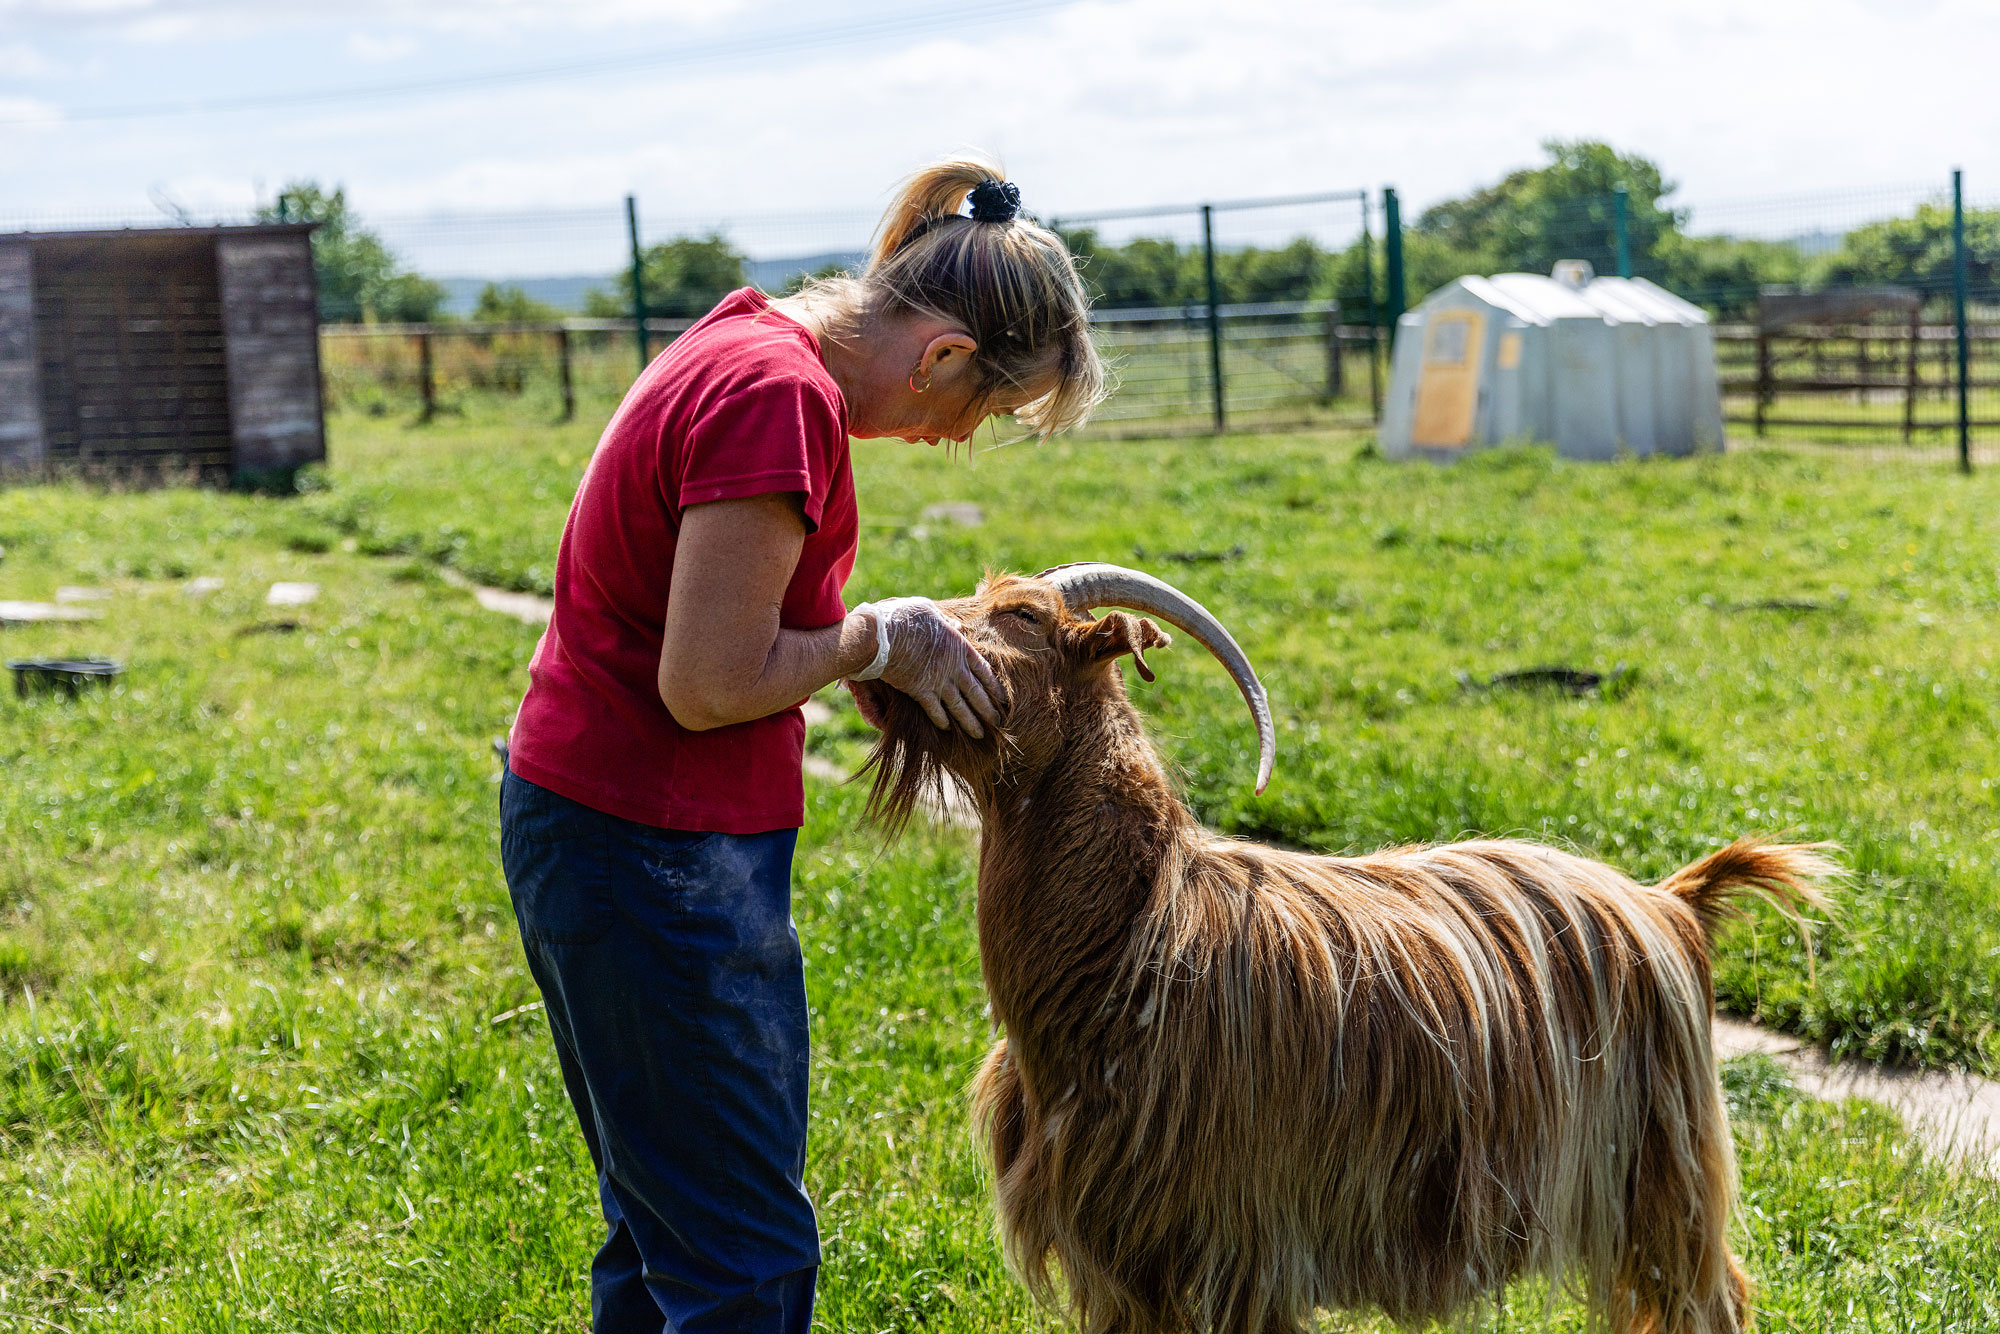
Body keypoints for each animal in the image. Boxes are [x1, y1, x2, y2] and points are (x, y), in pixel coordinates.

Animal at [844, 568, 1832, 1334]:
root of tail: (1670, 903)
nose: (892, 655)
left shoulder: (1243, 1241)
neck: (1138, 933)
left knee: (1714, 1296)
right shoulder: (1127, 1258)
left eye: (1022, 617)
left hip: (1662, 1176)